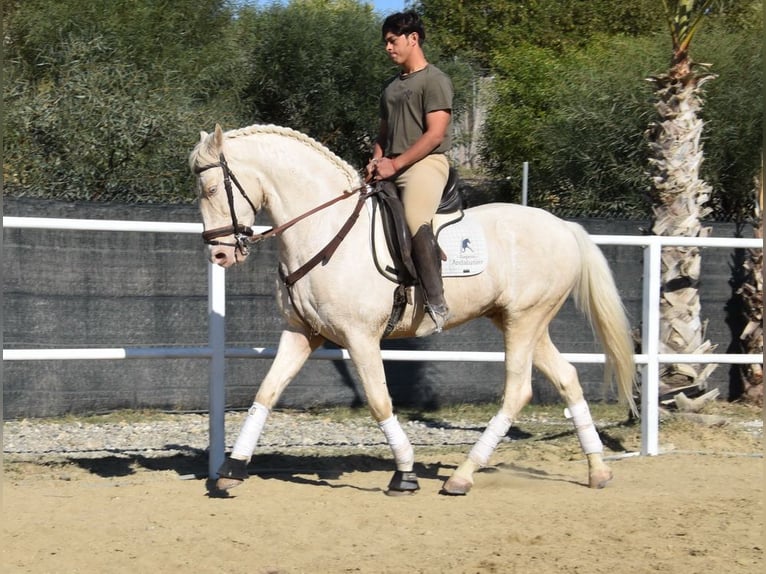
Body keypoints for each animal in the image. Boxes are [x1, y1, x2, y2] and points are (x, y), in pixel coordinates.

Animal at [189, 124, 640, 498]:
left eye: (210, 190)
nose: (220, 255)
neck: (324, 229)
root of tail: (564, 226)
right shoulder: (303, 333)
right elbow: (266, 392)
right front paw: (232, 470)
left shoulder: (360, 337)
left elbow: (378, 401)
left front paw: (404, 473)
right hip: (523, 322)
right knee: (567, 378)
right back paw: (597, 470)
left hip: (523, 321)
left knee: (517, 392)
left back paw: (462, 476)